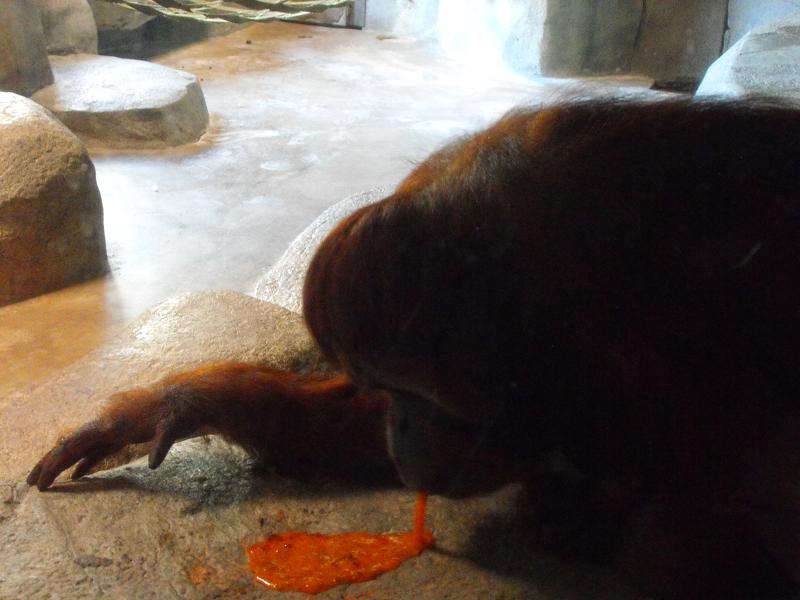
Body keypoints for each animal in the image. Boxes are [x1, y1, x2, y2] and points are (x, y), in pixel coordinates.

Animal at [28, 96, 800, 599]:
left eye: (419, 394)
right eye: (388, 389)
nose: (404, 424)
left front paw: (593, 511)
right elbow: (346, 432)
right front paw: (170, 405)